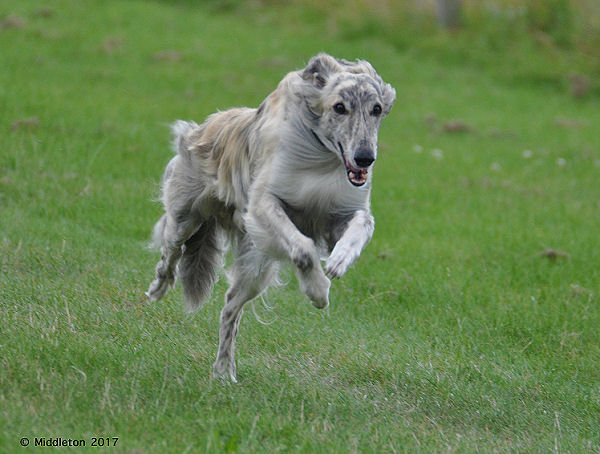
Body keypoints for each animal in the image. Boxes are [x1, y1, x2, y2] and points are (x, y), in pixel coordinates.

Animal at [148, 51, 396, 382]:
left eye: (376, 109)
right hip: (186, 216)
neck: (320, 158)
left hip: (255, 266)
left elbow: (360, 225)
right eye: (339, 107)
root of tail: (203, 127)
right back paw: (158, 289)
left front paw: (338, 261)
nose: (365, 158)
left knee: (230, 307)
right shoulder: (265, 203)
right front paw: (318, 291)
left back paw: (224, 371)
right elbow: (303, 248)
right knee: (170, 252)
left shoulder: (342, 210)